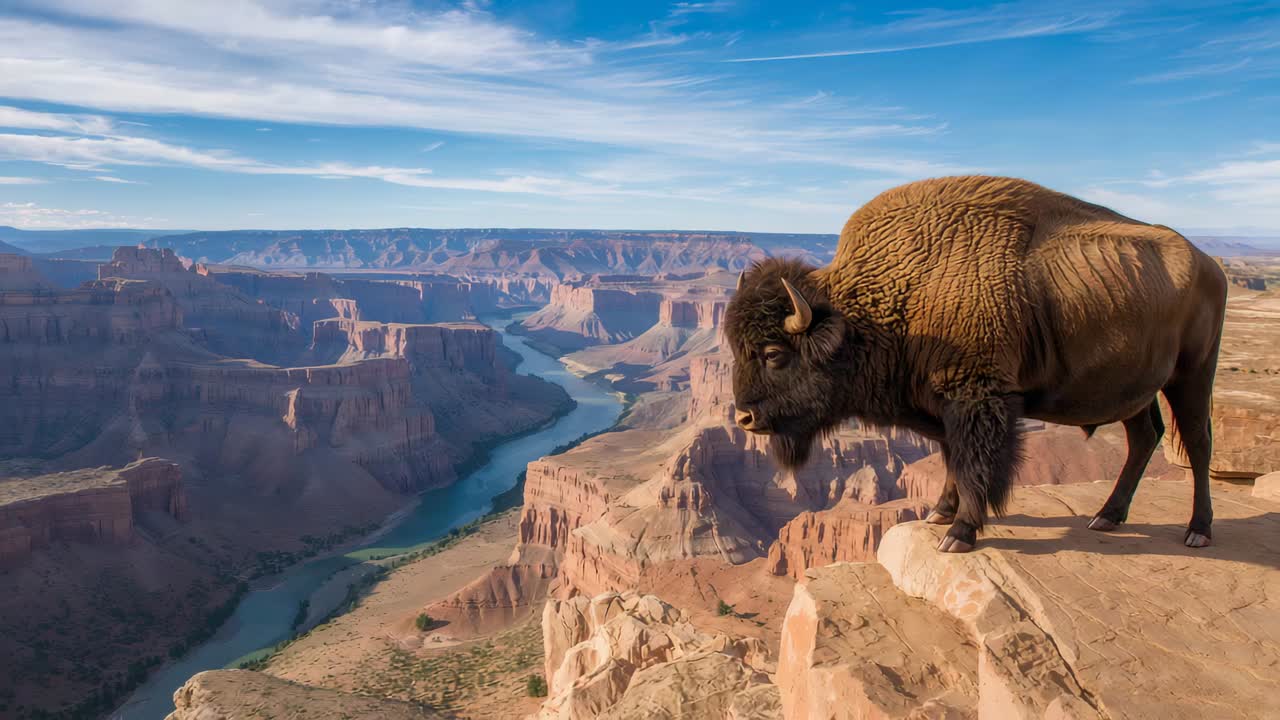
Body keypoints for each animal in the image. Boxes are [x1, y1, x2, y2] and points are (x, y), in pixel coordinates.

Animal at [724, 175, 1227, 553]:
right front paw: (939, 512)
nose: (744, 418)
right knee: (1144, 437)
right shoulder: (942, 405)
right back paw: (1107, 516)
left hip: (1192, 375)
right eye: (734, 349)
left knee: (1198, 442)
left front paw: (960, 533)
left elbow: (974, 464)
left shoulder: (977, 398)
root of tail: (1211, 265)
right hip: (1133, 391)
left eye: (773, 354)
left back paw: (1197, 530)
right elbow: (952, 460)